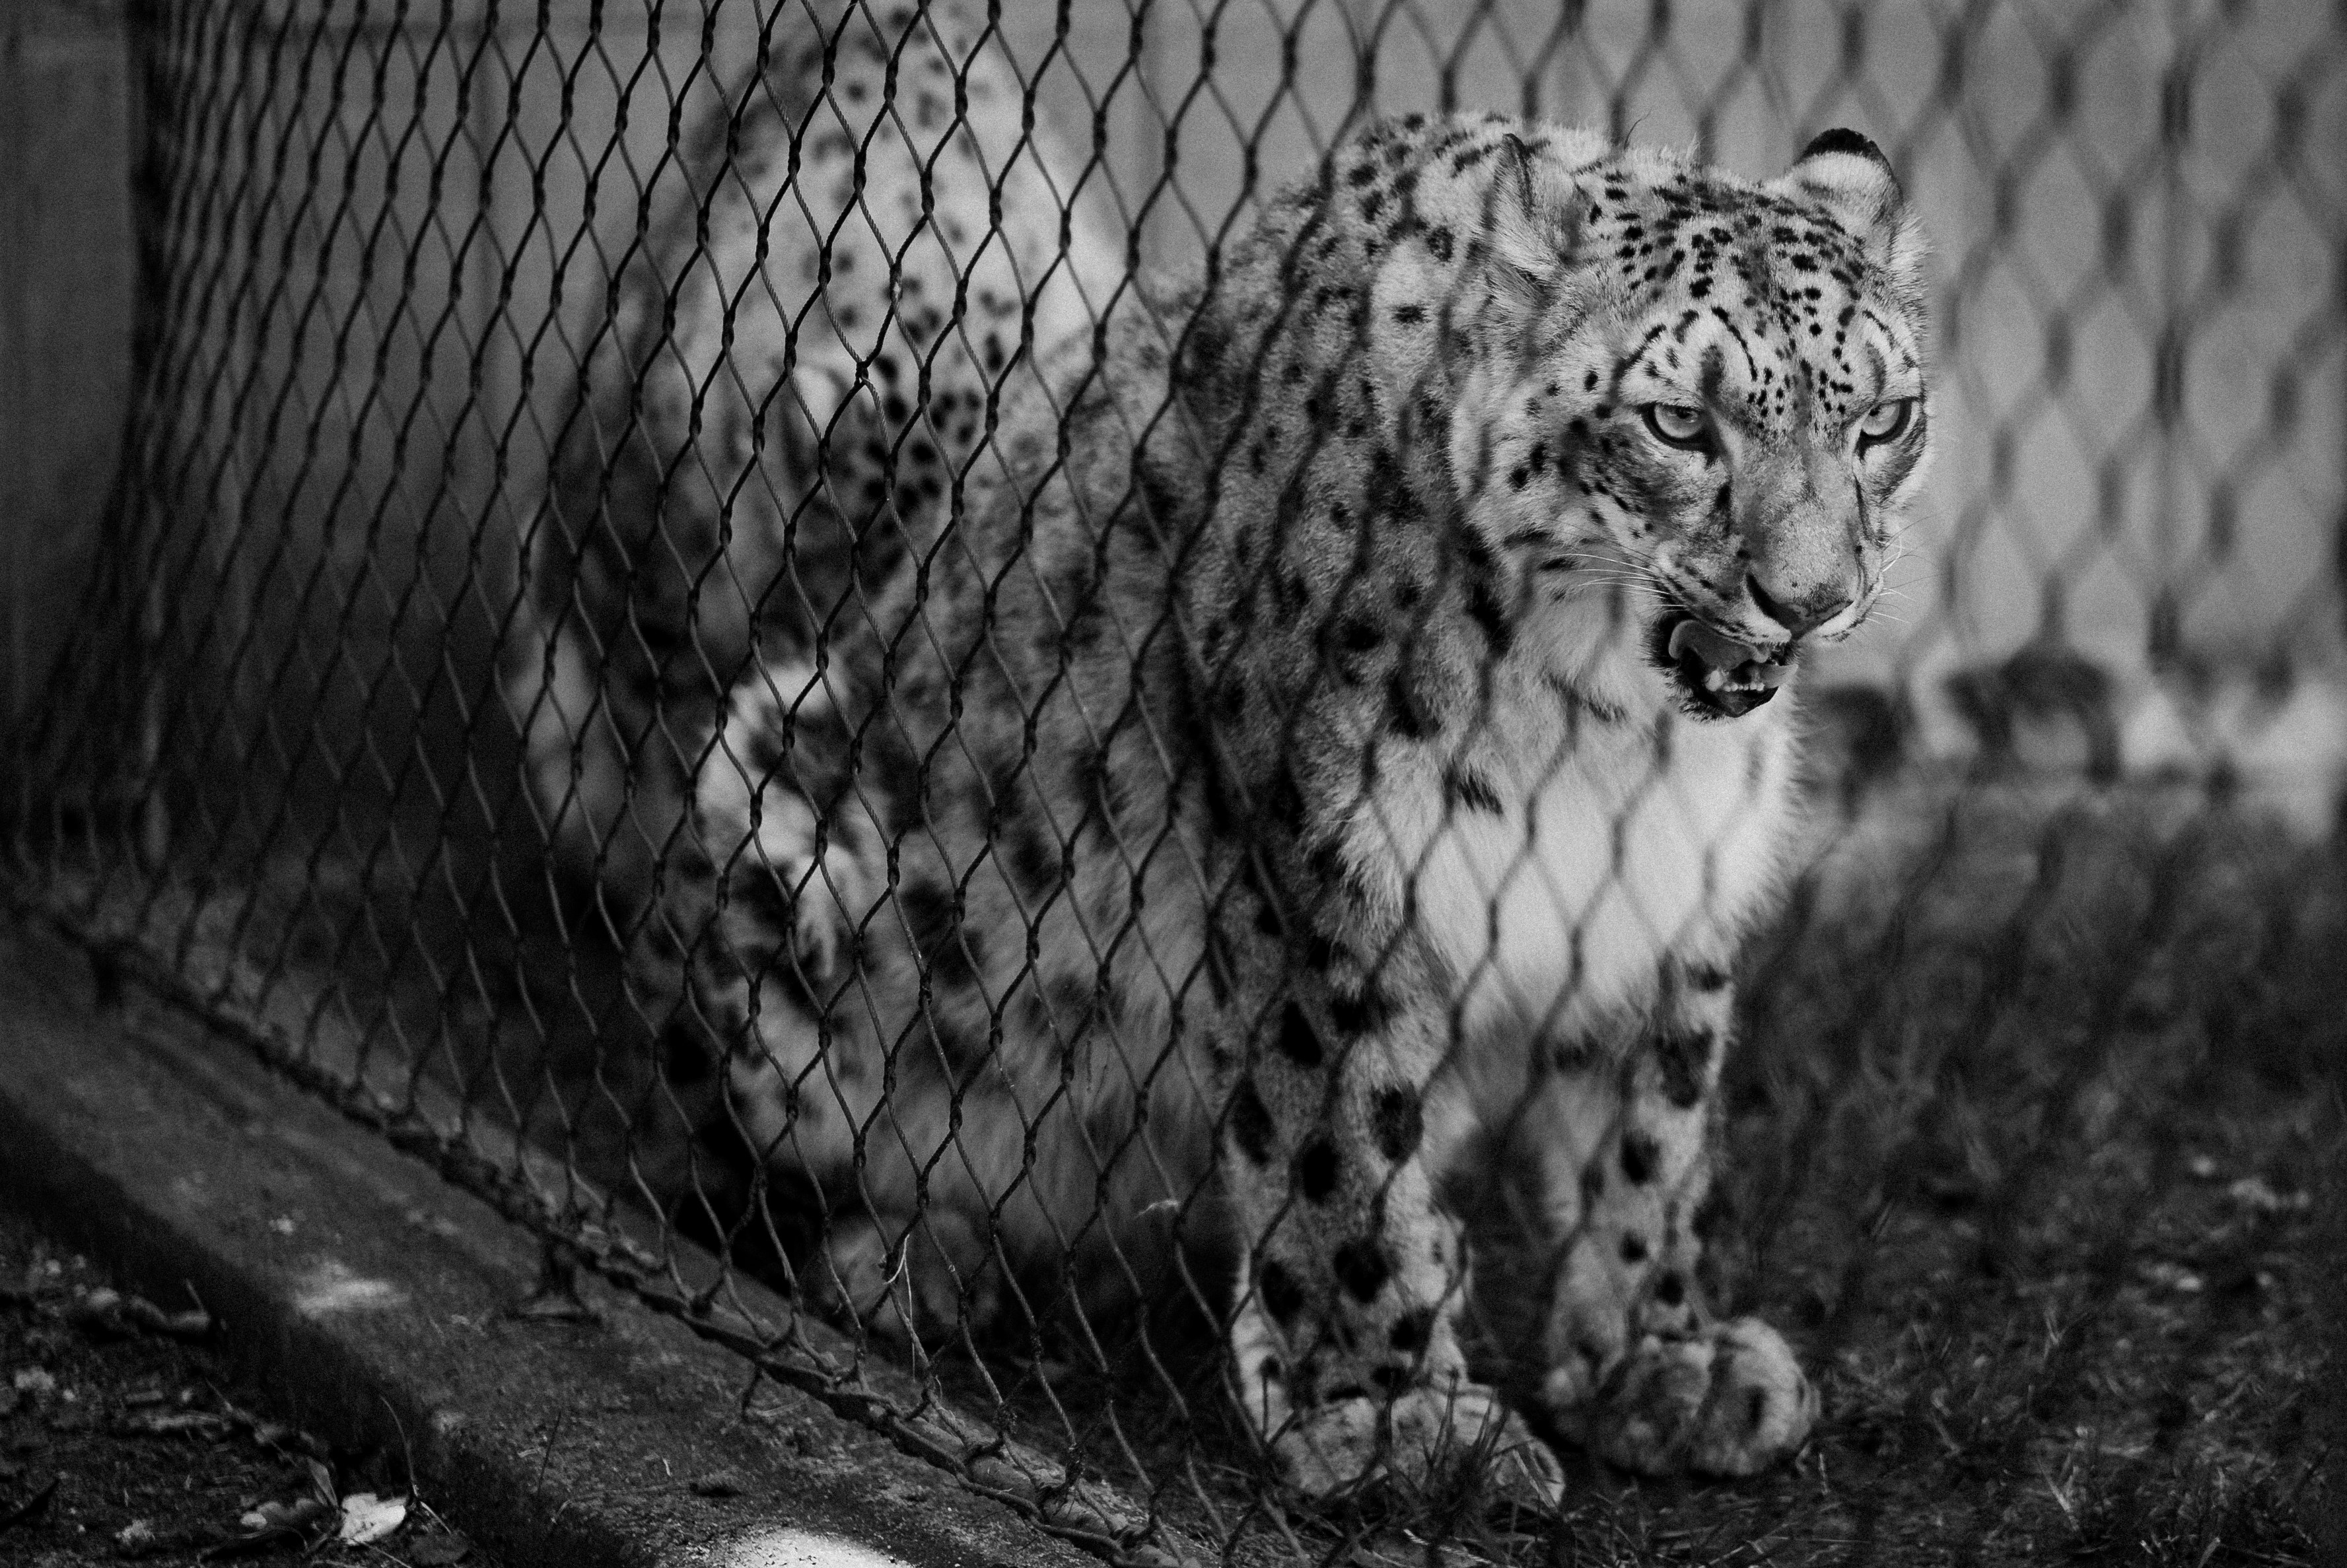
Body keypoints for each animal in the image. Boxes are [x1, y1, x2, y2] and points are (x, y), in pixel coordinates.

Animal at [674, 112, 1930, 1509]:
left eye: (1881, 418)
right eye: (1675, 423)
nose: (1810, 600)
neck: (1606, 730)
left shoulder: (1665, 893)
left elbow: (1654, 1133)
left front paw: (1662, 1362)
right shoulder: (1326, 872)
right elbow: (1342, 1150)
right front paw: (1391, 1418)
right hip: (783, 847)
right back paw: (911, 1265)